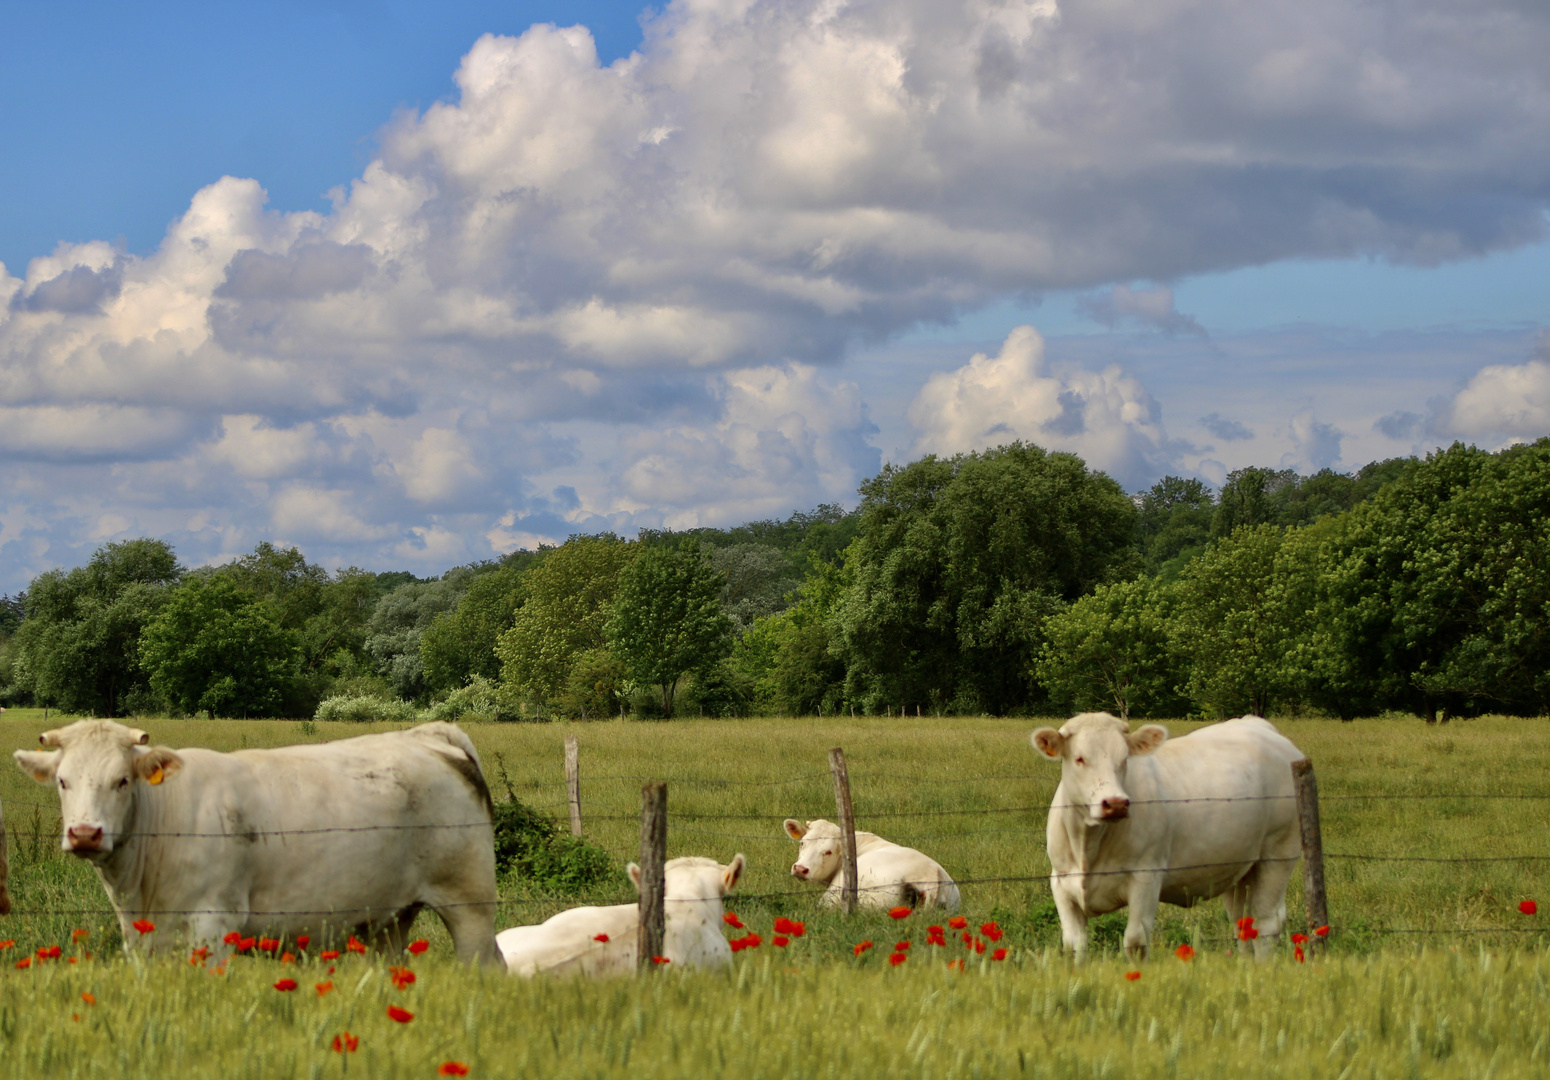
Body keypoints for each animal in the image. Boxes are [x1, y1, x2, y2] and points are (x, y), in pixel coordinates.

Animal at [18, 715, 502, 960]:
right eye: (61, 781)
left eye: (122, 781)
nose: (85, 833)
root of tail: (427, 735)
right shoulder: (141, 937)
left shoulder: (214, 924)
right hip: (387, 918)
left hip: (470, 903)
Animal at [1029, 712, 1308, 954]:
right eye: (1079, 758)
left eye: (1125, 759)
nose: (1116, 803)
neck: (1089, 845)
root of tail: (1259, 726)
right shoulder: (1061, 882)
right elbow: (1074, 944)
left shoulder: (1146, 876)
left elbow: (1135, 941)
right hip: (1237, 867)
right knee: (1243, 924)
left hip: (1279, 852)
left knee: (1266, 923)